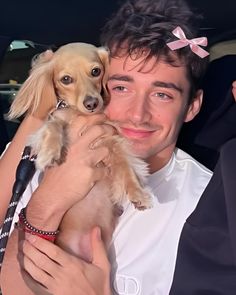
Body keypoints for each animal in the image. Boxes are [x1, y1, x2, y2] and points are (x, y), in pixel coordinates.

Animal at [7, 42, 153, 262]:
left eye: (96, 71)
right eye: (66, 79)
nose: (91, 103)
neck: (78, 114)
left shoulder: (111, 139)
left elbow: (125, 167)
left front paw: (137, 193)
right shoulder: (55, 120)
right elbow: (54, 126)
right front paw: (50, 152)